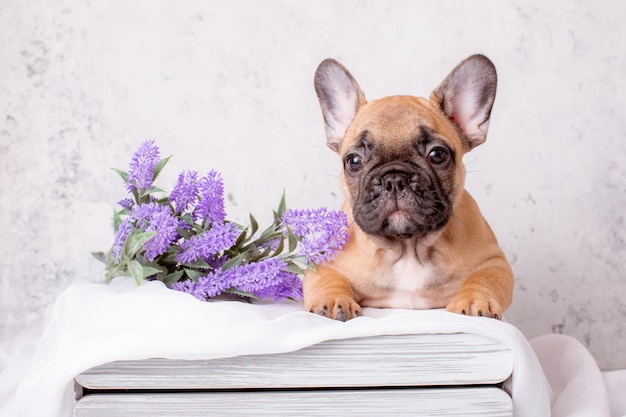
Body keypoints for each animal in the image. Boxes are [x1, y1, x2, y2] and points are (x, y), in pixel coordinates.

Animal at [302, 54, 512, 322]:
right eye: (354, 161)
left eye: (437, 154)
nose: (394, 179)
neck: (408, 247)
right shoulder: (325, 264)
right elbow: (329, 281)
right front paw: (334, 300)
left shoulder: (493, 262)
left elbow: (483, 279)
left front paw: (476, 300)